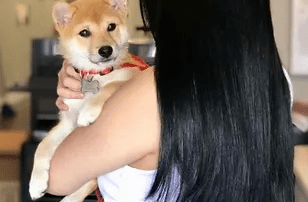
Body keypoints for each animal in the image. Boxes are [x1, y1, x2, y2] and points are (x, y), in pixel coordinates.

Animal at [29, 0, 149, 200]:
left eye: (111, 26)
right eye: (85, 32)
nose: (106, 50)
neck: (95, 75)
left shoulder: (131, 76)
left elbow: (110, 86)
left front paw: (88, 111)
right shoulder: (68, 123)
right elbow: (42, 146)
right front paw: (36, 182)